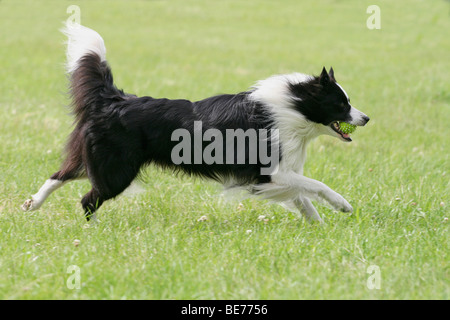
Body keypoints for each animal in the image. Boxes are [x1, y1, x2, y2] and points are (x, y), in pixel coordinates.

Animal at [22, 23, 370, 222]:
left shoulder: (277, 175)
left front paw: (319, 227)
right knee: (87, 199)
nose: (366, 118)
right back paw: (91, 233)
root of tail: (115, 99)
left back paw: (32, 204)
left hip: (101, 161)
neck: (294, 107)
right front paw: (343, 205)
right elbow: (315, 185)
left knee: (60, 175)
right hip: (117, 171)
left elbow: (302, 198)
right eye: (342, 104)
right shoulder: (270, 173)